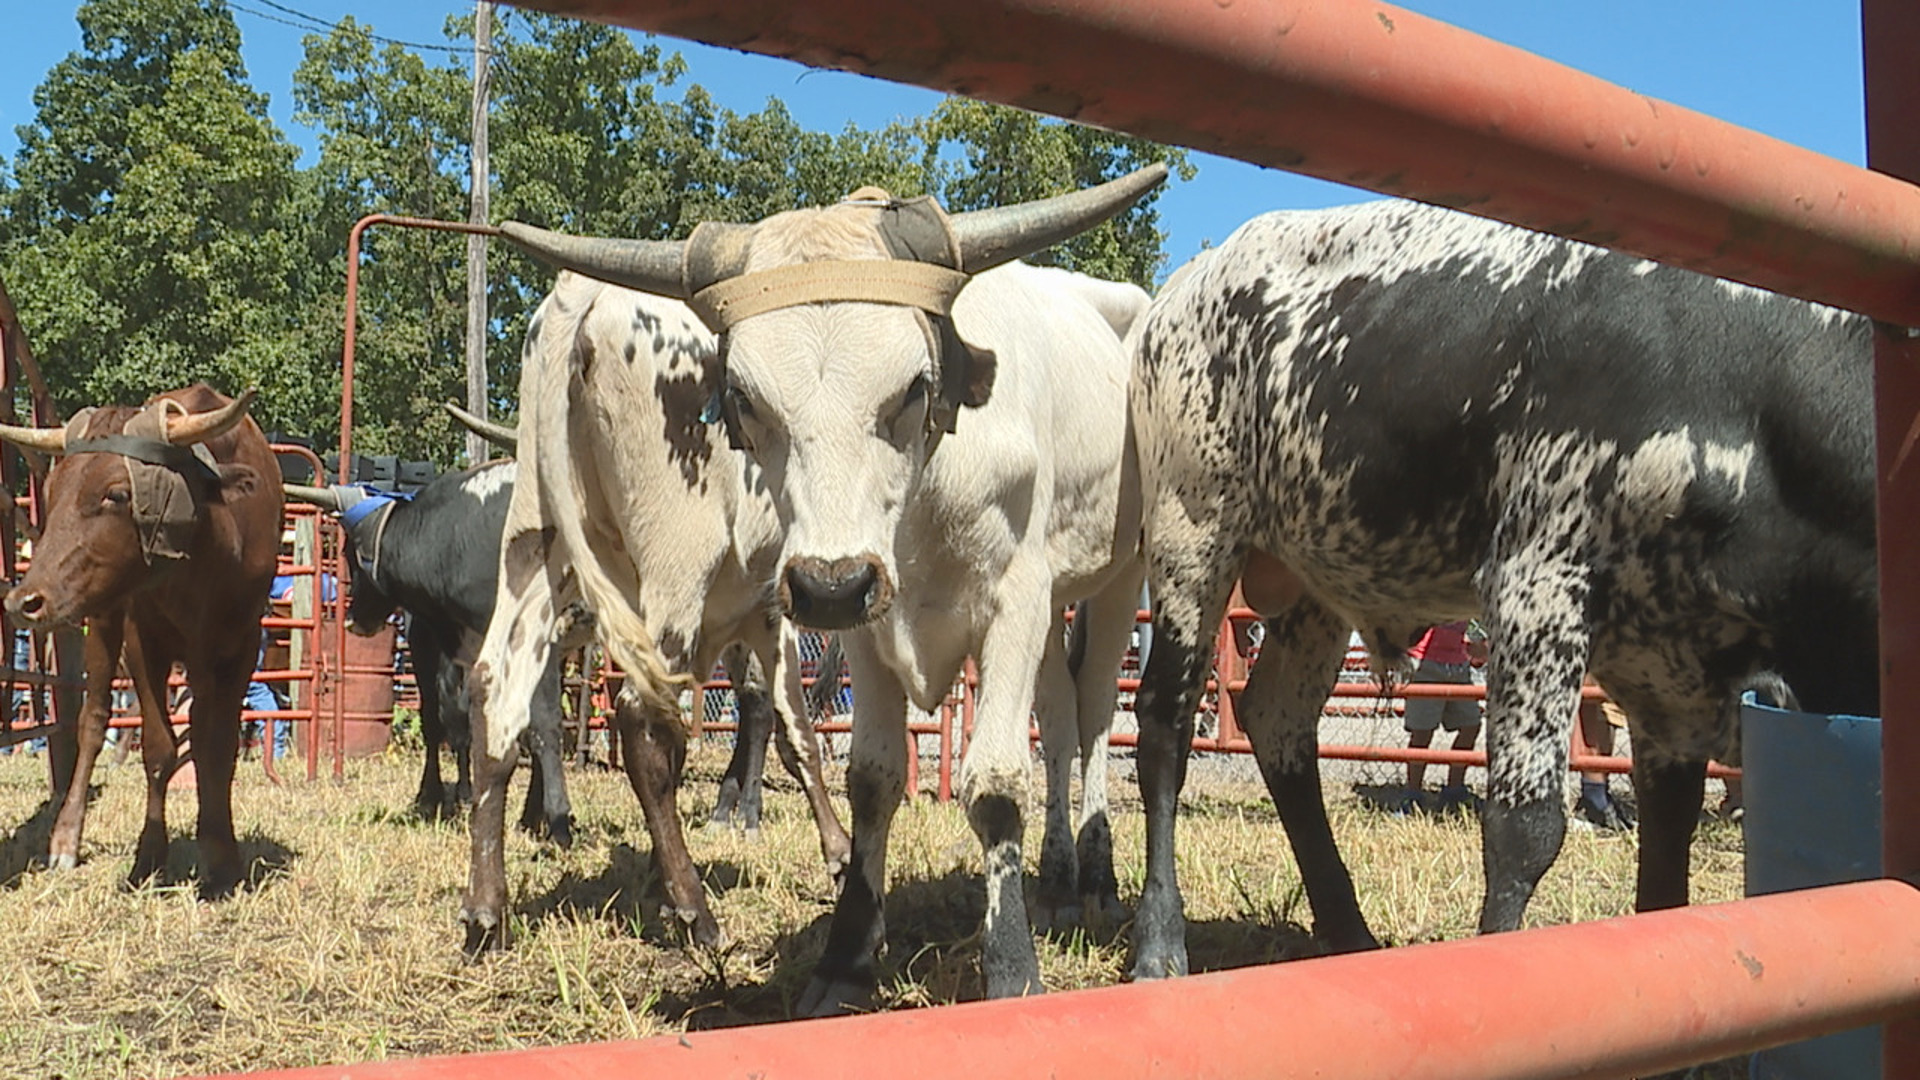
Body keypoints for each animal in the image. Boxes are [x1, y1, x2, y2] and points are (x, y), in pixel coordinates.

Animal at [1121, 197, 1873, 972]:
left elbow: (1669, 838)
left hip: (1313, 583)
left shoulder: (1674, 666)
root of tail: (1187, 285)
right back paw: (1160, 940)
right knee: (1164, 722)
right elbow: (1525, 825)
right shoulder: (1537, 581)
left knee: (1279, 722)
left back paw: (1349, 932)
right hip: (1193, 527)